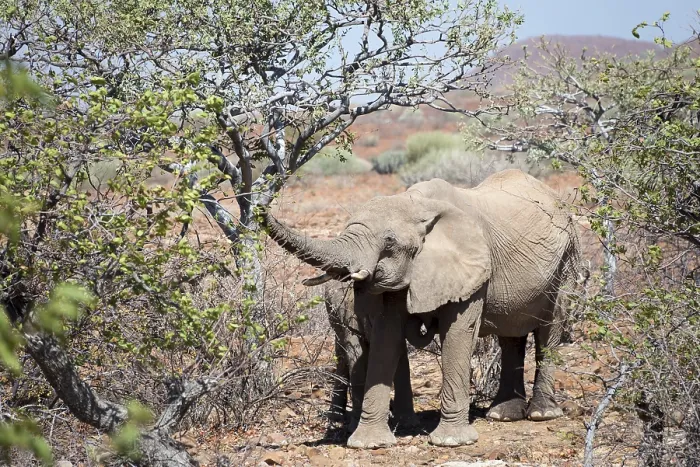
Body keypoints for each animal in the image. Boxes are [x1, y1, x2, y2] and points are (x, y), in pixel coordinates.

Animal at [264, 170, 581, 448]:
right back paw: (503, 414)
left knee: (549, 329)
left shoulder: (473, 267)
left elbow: (458, 334)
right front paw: (369, 444)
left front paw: (451, 442)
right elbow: (386, 338)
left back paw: (541, 413)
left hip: (564, 262)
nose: (261, 207)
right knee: (511, 334)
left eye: (389, 240)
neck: (416, 204)